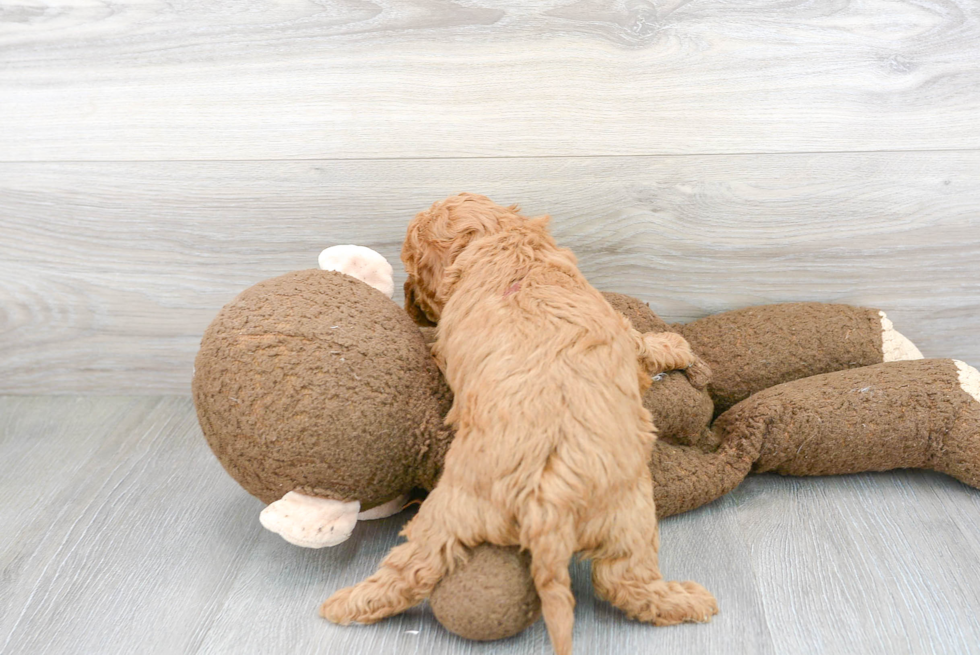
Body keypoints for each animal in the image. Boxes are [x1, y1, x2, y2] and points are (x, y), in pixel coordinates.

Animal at [326, 192, 716, 652]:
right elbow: (647, 344)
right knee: (623, 581)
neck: (503, 248)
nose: (409, 301)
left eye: (410, 262)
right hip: (628, 510)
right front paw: (676, 345)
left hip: (484, 512)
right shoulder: (622, 331)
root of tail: (547, 499)